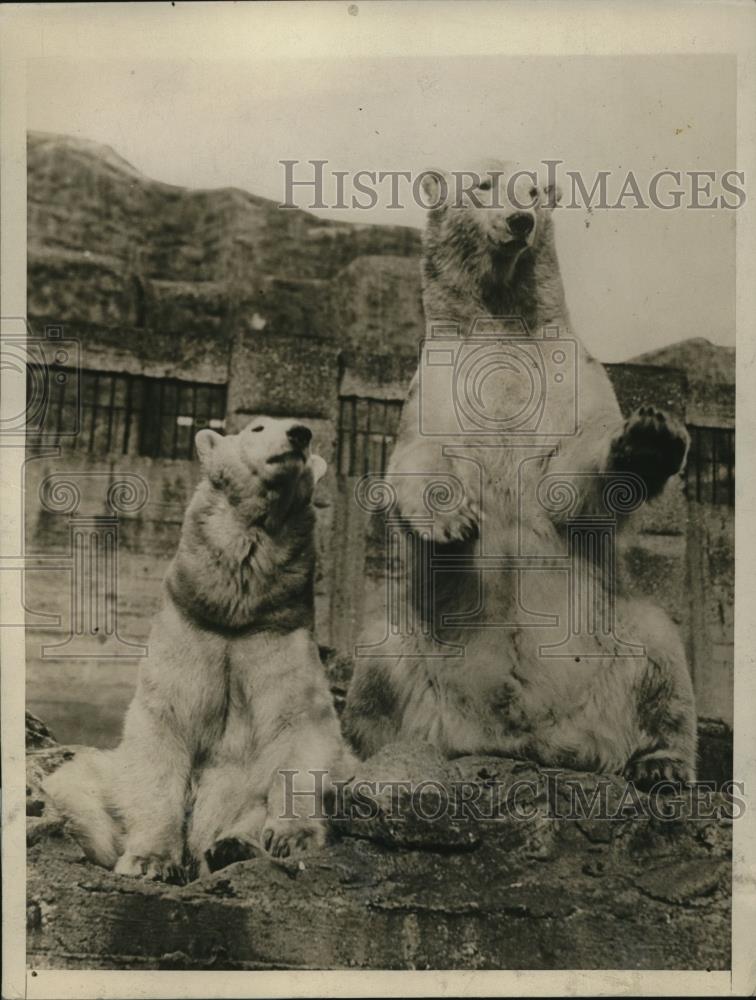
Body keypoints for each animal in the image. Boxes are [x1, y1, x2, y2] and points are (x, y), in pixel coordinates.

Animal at [45, 418, 358, 880]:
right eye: (257, 427)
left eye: (305, 436)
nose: (300, 433)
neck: (236, 613)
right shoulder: (190, 631)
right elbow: (164, 724)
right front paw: (149, 860)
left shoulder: (279, 637)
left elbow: (300, 727)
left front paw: (290, 837)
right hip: (107, 776)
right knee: (76, 784)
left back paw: (234, 845)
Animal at [342, 160, 696, 784]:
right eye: (482, 186)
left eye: (534, 190)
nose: (520, 220)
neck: (500, 321)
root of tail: (522, 741)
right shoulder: (435, 383)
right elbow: (415, 459)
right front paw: (453, 520)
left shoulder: (568, 375)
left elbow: (570, 479)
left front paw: (650, 440)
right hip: (417, 642)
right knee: (378, 654)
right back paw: (369, 756)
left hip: (612, 635)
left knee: (662, 654)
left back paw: (661, 765)